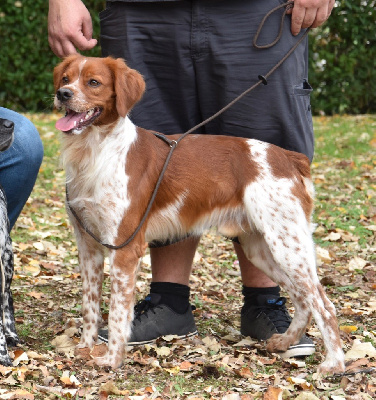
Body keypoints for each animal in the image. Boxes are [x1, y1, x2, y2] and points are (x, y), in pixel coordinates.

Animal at [53, 54, 346, 374]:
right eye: (65, 78)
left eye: (94, 82)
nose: (62, 94)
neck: (95, 151)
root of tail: (287, 157)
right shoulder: (88, 247)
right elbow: (90, 307)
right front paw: (85, 347)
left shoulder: (125, 248)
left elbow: (118, 313)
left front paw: (112, 358)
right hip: (262, 249)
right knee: (303, 298)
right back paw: (285, 341)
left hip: (287, 244)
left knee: (323, 303)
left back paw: (334, 362)